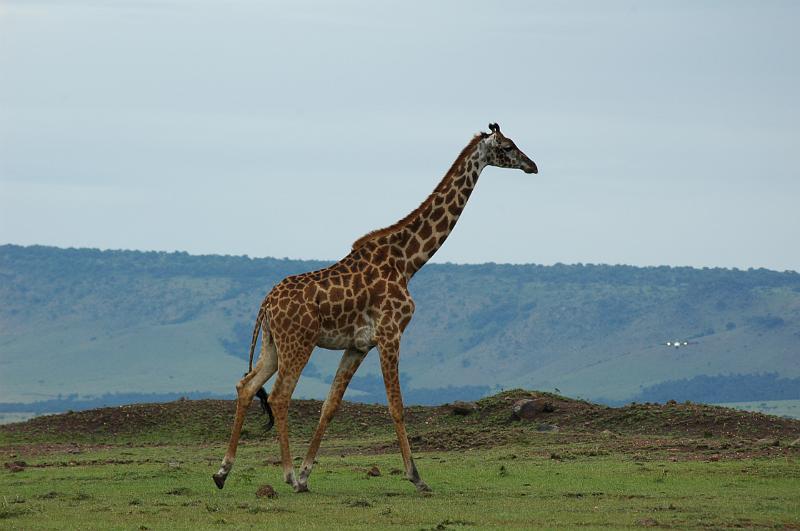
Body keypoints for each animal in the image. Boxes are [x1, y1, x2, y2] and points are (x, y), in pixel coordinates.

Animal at [213, 123, 537, 493]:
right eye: (508, 147)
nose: (532, 165)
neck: (408, 261)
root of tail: (266, 303)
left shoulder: (358, 345)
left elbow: (330, 405)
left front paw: (309, 473)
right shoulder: (391, 333)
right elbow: (396, 406)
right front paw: (417, 477)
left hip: (272, 345)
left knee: (247, 386)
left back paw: (223, 472)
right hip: (298, 344)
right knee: (280, 396)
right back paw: (288, 475)